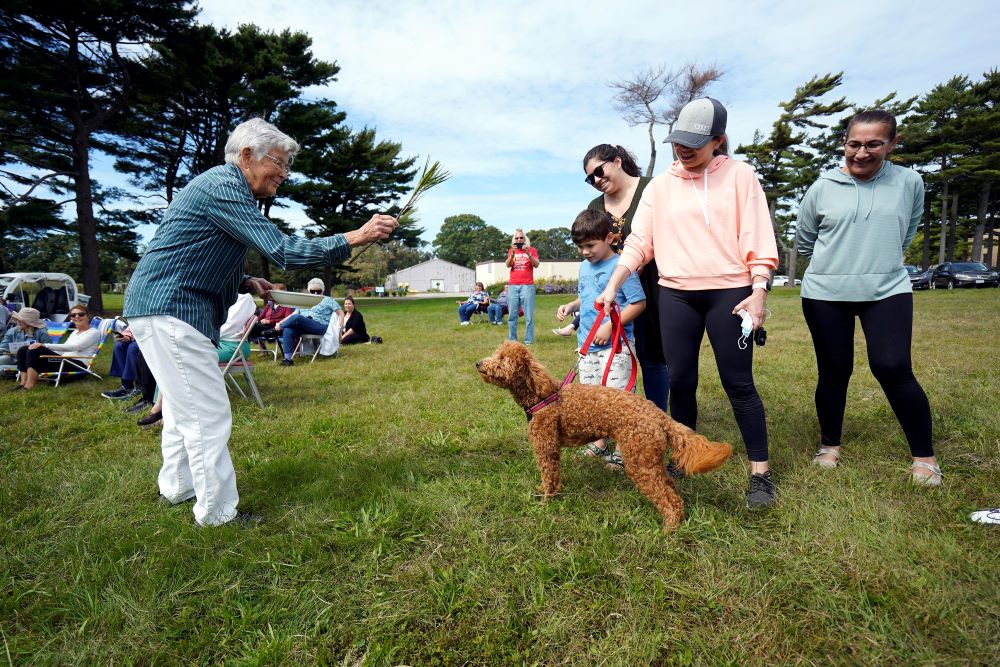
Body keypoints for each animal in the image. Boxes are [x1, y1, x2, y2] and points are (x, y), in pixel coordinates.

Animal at [476, 344, 728, 532]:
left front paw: (546, 501)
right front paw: (545, 492)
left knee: (668, 498)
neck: (542, 395)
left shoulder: (546, 446)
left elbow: (549, 475)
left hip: (639, 460)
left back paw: (669, 529)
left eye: (501, 358)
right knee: (670, 487)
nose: (478, 363)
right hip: (649, 458)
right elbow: (551, 477)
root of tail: (658, 414)